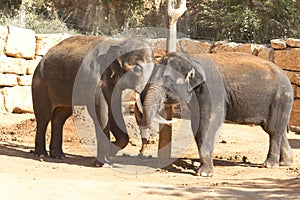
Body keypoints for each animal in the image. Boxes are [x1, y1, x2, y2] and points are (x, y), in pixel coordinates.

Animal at [31, 34, 156, 166]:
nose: (141, 152)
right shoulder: (93, 78)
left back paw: (58, 156)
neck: (118, 43)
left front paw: (109, 153)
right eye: (138, 69)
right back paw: (41, 154)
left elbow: (113, 113)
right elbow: (101, 114)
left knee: (60, 117)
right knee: (44, 117)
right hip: (40, 85)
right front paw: (103, 163)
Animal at [135, 52, 292, 177]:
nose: (141, 152)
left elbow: (208, 122)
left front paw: (204, 174)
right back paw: (285, 162)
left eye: (167, 79)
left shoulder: (212, 90)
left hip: (280, 98)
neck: (192, 59)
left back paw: (270, 165)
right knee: (277, 129)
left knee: (273, 130)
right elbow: (197, 123)